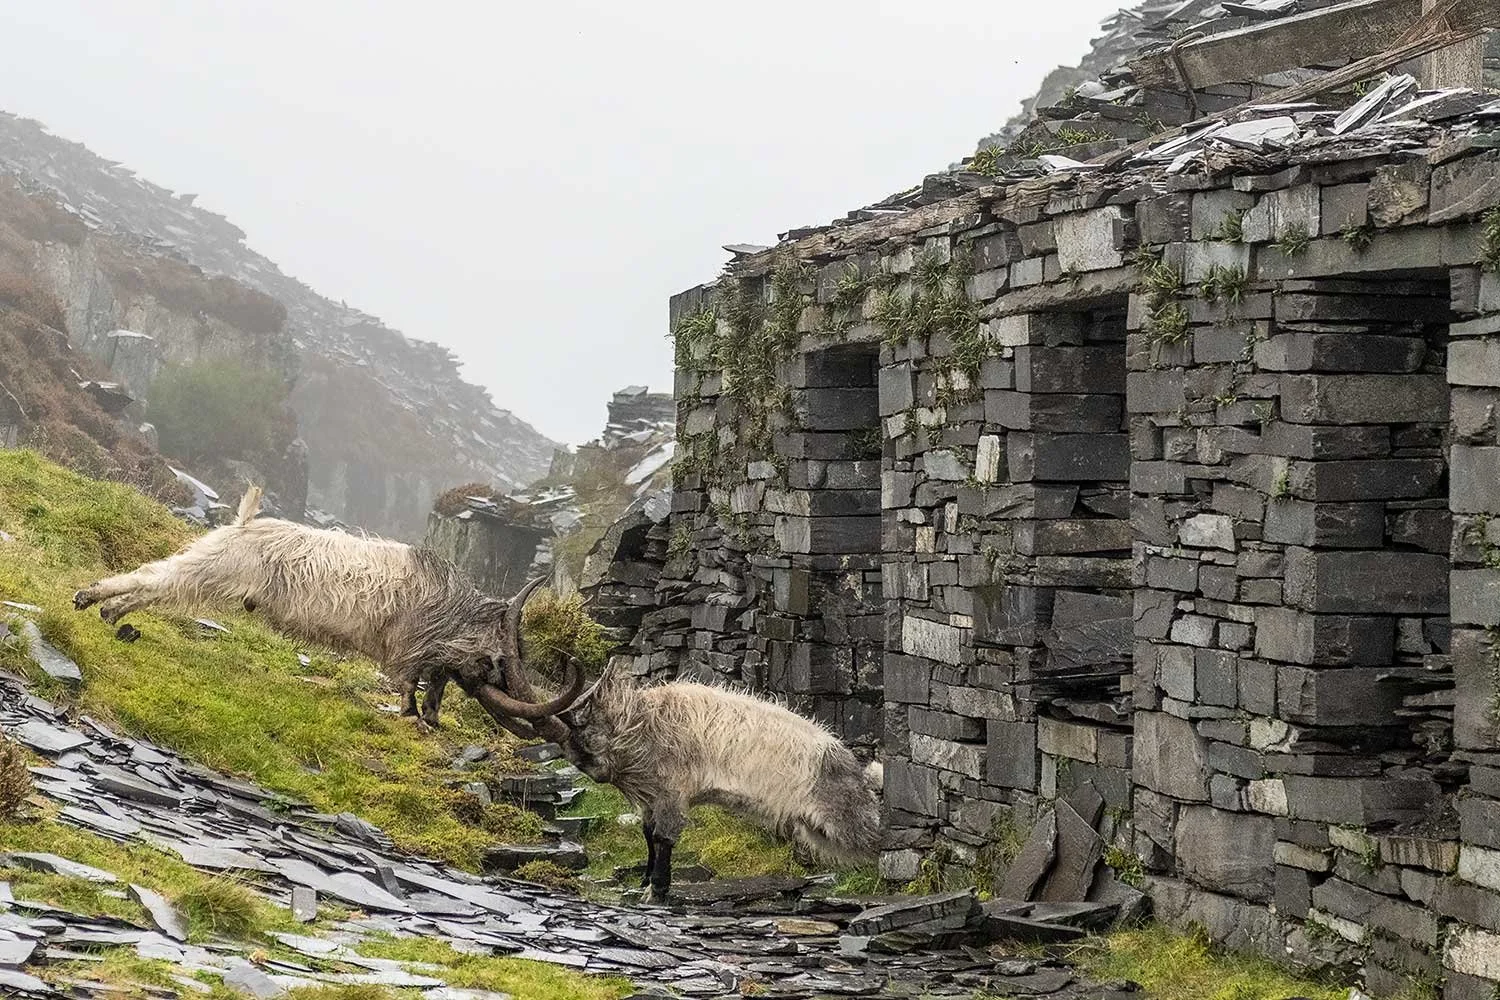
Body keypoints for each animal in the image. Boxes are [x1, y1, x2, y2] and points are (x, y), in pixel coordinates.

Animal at [71, 486, 578, 735]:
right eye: (498, 661)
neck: (453, 608)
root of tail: (246, 523)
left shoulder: (432, 654)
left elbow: (433, 683)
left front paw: (430, 719)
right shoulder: (411, 647)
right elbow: (410, 682)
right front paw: (413, 715)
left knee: (156, 587)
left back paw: (111, 615)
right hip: (210, 569)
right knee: (153, 577)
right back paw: (90, 599)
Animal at [503, 660, 883, 903]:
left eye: (584, 729)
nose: (594, 771)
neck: (645, 725)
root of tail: (857, 771)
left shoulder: (673, 790)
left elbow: (663, 836)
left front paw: (656, 891)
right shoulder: (653, 796)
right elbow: (648, 833)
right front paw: (645, 880)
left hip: (844, 821)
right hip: (815, 829)